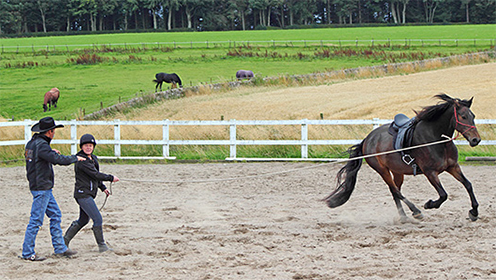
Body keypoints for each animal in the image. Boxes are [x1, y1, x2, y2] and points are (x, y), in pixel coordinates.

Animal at [324, 95, 482, 222]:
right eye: (463, 116)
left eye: (473, 116)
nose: (476, 140)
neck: (436, 139)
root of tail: (367, 139)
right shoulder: (430, 172)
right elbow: (443, 195)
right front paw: (429, 204)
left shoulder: (453, 167)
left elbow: (468, 185)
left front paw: (474, 212)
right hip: (383, 170)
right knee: (395, 191)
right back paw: (416, 212)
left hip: (397, 171)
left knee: (395, 192)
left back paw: (404, 216)